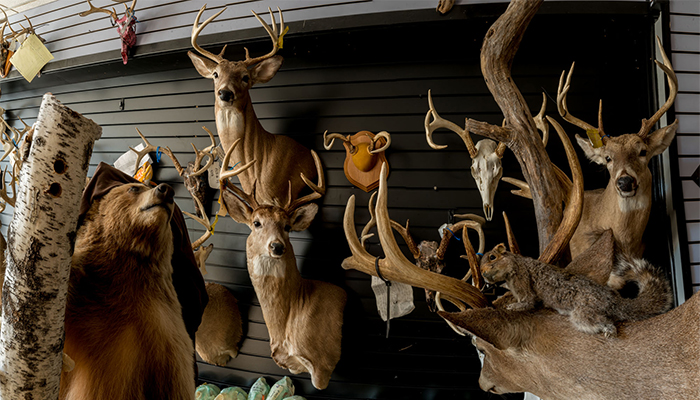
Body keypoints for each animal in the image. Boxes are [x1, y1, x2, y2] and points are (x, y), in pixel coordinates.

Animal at [482, 244, 672, 338]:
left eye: (492, 257)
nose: (483, 274)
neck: (513, 265)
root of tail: (613, 300)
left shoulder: (521, 276)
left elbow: (528, 301)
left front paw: (512, 307)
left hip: (584, 311)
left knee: (602, 321)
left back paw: (609, 330)